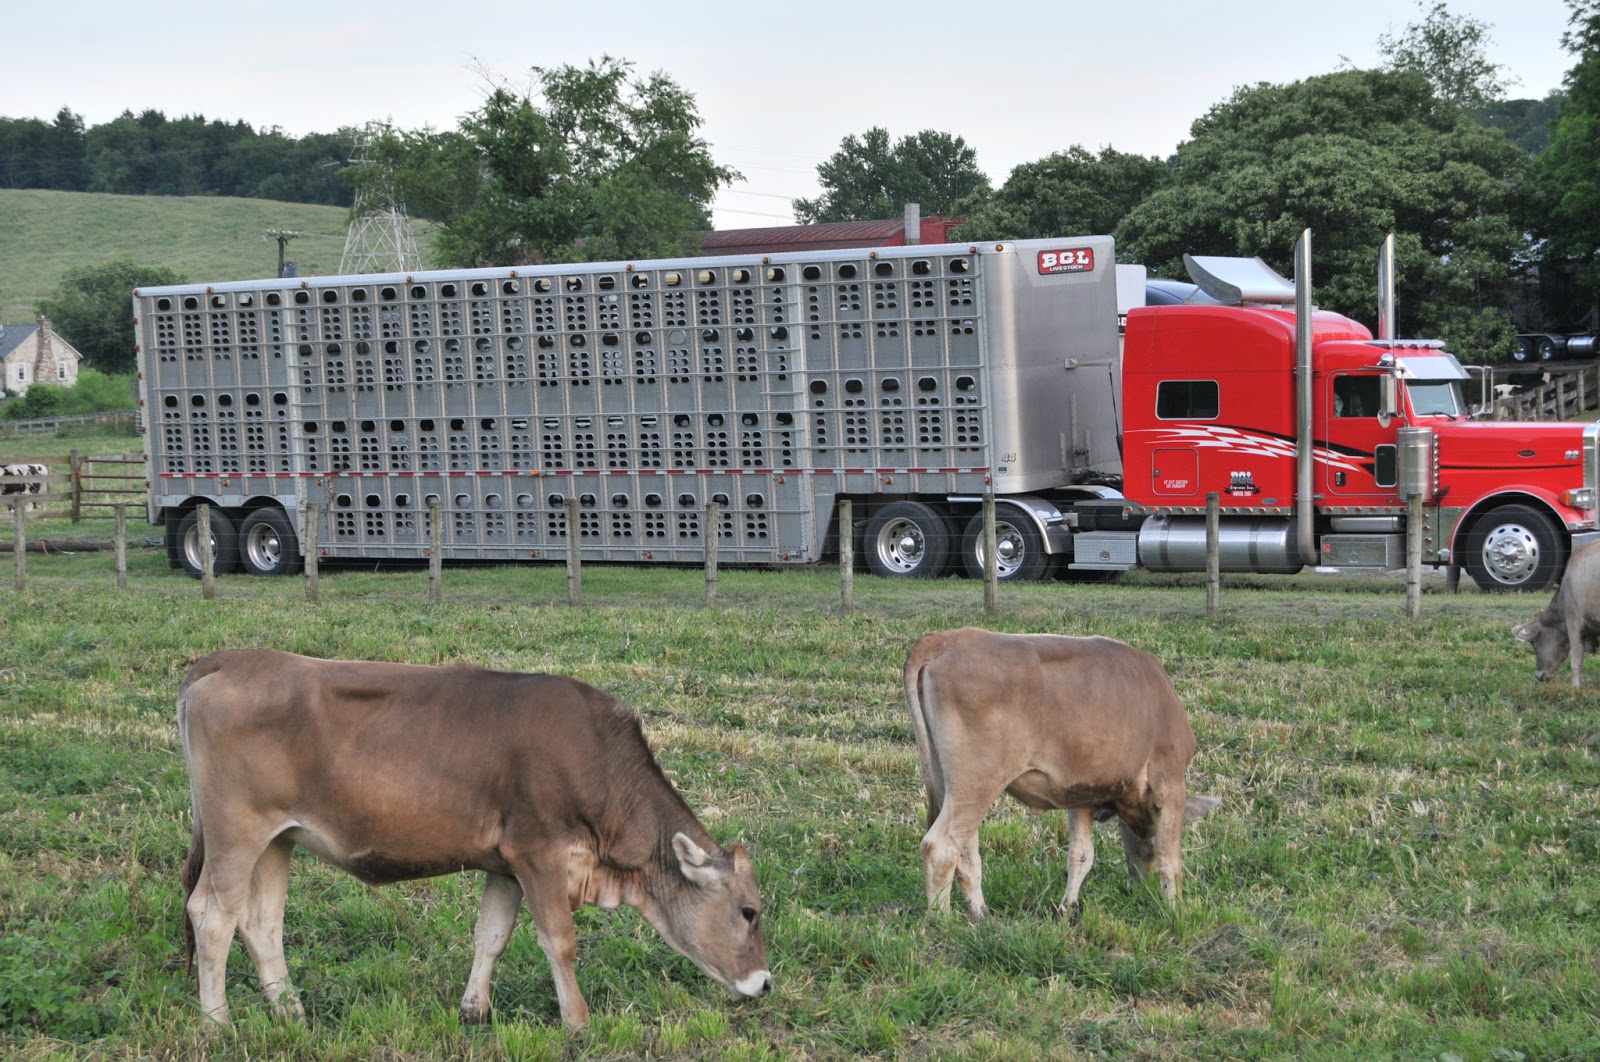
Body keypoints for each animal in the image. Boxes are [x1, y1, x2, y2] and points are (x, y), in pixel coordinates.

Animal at [178, 646, 771, 1030]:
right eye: (749, 912)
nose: (764, 983)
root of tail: (229, 658)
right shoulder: (538, 851)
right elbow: (560, 939)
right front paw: (578, 1023)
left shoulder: (504, 863)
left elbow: (492, 935)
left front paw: (474, 1011)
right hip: (236, 832)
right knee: (211, 917)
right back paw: (217, 1024)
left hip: (277, 839)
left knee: (260, 923)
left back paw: (292, 1015)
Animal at [902, 626, 1222, 927]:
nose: (1138, 889)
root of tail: (946, 638)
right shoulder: (1170, 784)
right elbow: (1171, 859)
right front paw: (1176, 910)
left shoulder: (1081, 796)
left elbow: (1081, 855)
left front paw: (1067, 909)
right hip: (977, 782)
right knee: (940, 846)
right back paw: (942, 920)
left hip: (949, 782)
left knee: (966, 851)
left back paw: (981, 914)